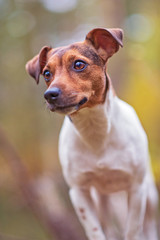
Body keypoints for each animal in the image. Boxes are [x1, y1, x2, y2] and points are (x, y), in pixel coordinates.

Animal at [25, 28, 158, 240]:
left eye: (79, 64)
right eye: (46, 73)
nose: (50, 95)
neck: (95, 132)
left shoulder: (136, 189)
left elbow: (132, 230)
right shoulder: (79, 193)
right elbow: (95, 232)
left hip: (149, 197)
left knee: (149, 227)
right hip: (101, 200)